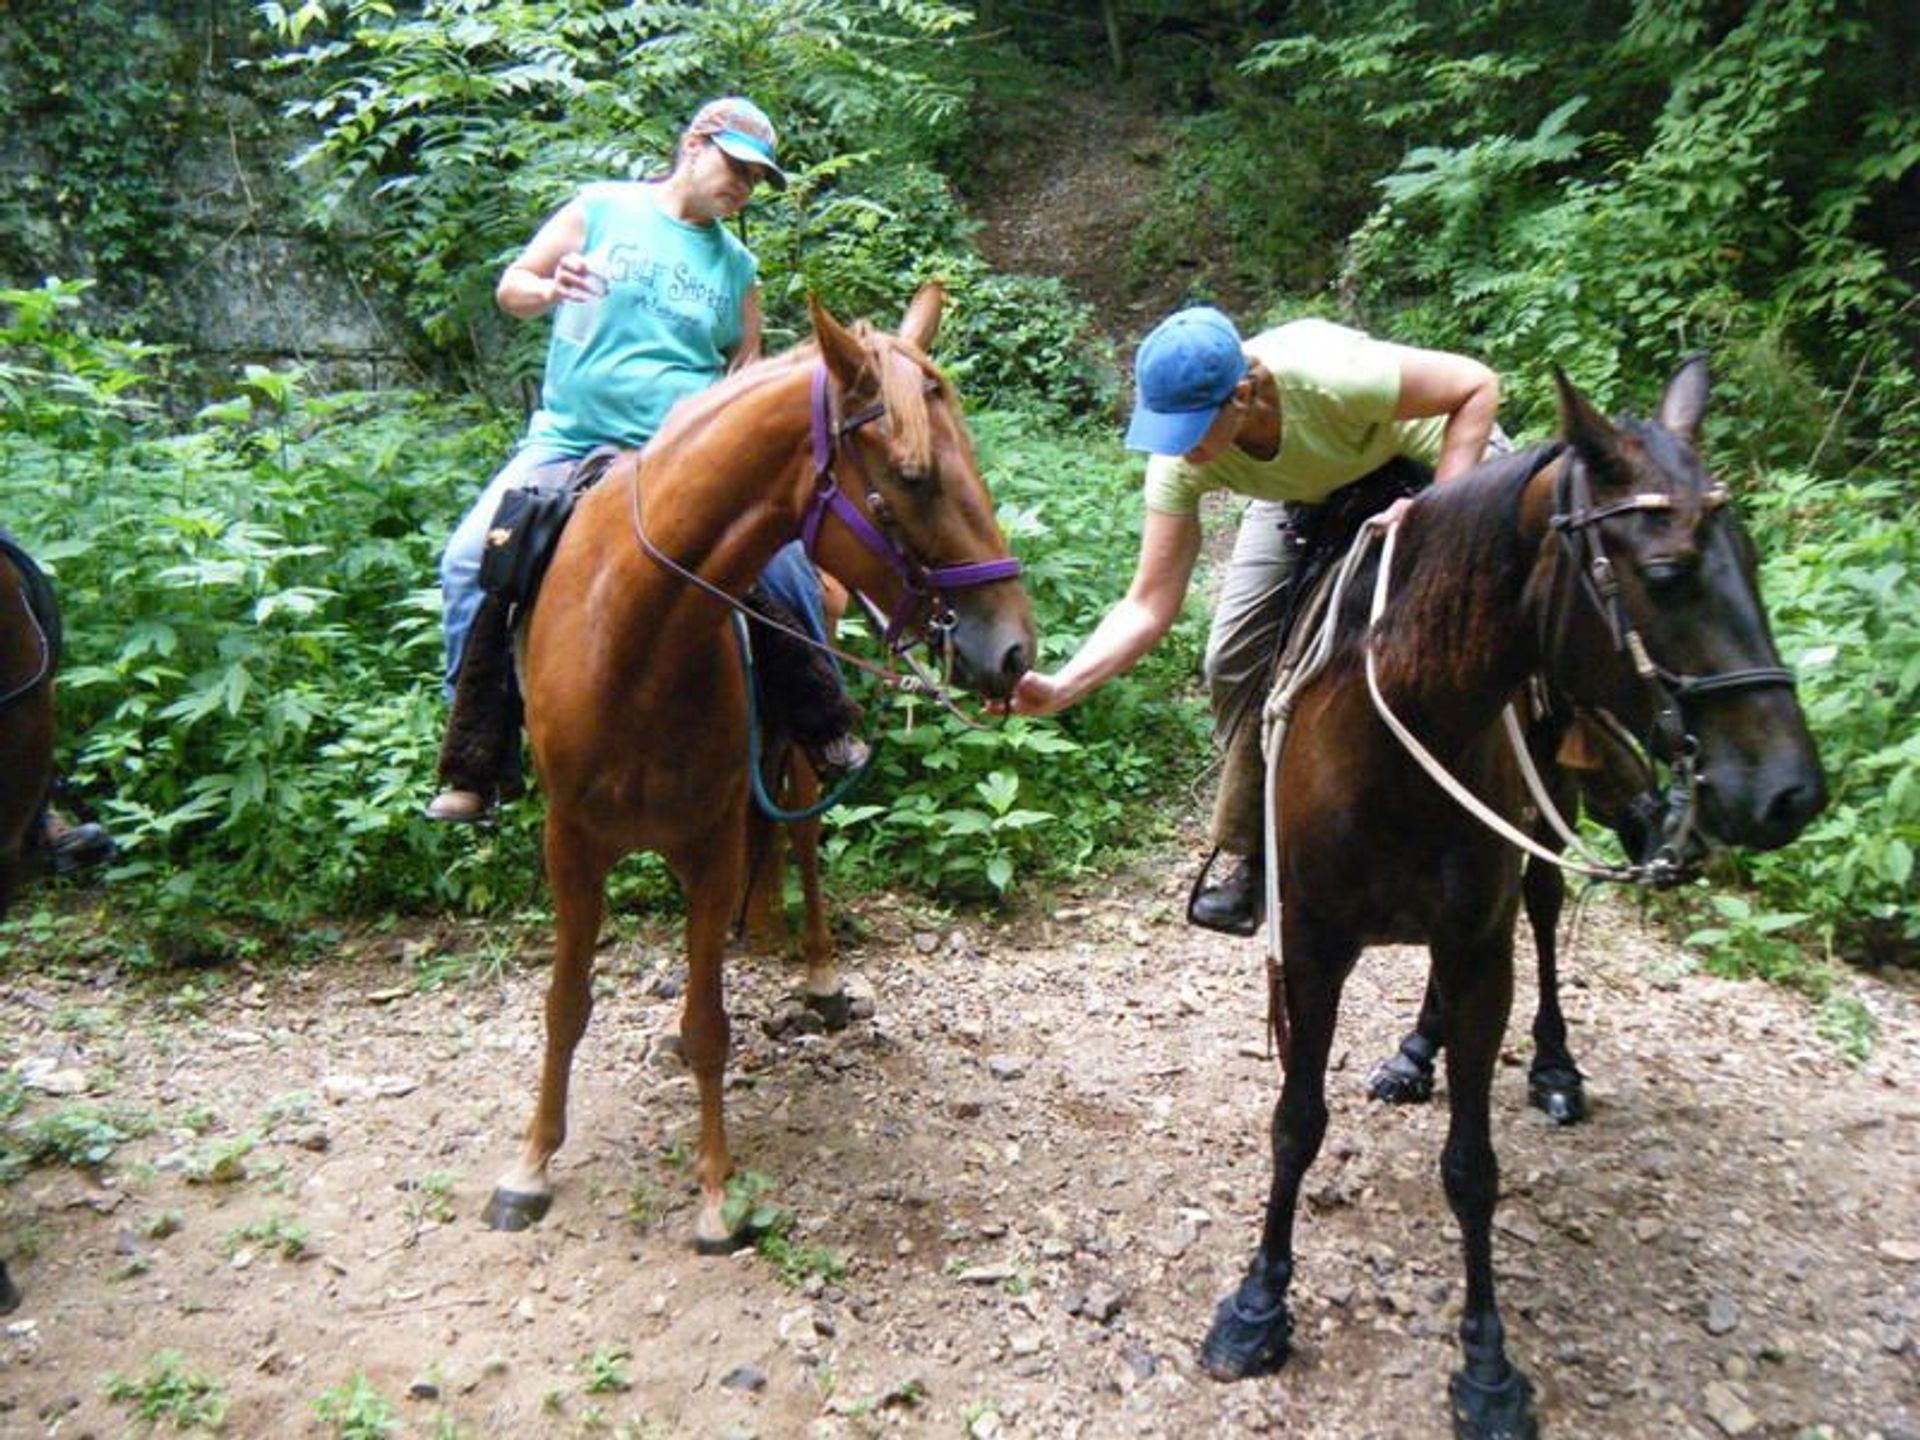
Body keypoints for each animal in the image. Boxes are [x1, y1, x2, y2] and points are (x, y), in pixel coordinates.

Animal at [487, 284, 1044, 1251]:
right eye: (912, 476)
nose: (1013, 651)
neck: (632, 632)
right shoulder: (571, 843)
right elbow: (566, 1004)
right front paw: (531, 1166)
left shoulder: (711, 842)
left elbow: (711, 1024)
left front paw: (717, 1195)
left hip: (800, 767)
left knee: (809, 845)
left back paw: (819, 976)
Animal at [1205, 355, 1820, 1436]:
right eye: (1668, 573)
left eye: (1747, 554)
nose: (1791, 792)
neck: (1401, 719)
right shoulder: (1313, 944)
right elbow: (1295, 1123)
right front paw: (1257, 1304)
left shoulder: (1479, 946)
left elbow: (1471, 1165)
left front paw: (1488, 1366)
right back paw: (1416, 1053)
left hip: (1541, 829)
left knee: (1543, 913)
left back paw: (1553, 1067)